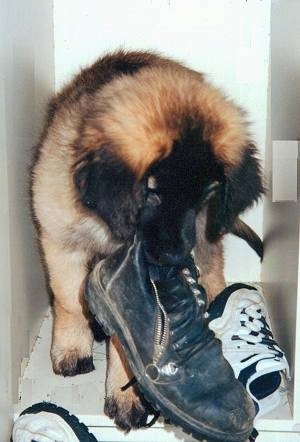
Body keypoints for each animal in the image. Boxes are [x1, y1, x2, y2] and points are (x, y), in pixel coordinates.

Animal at [31, 50, 264, 430]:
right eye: (151, 193)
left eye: (205, 194)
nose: (175, 257)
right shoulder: (58, 237)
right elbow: (67, 300)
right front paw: (71, 347)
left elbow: (125, 339)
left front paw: (127, 394)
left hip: (207, 233)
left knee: (213, 263)